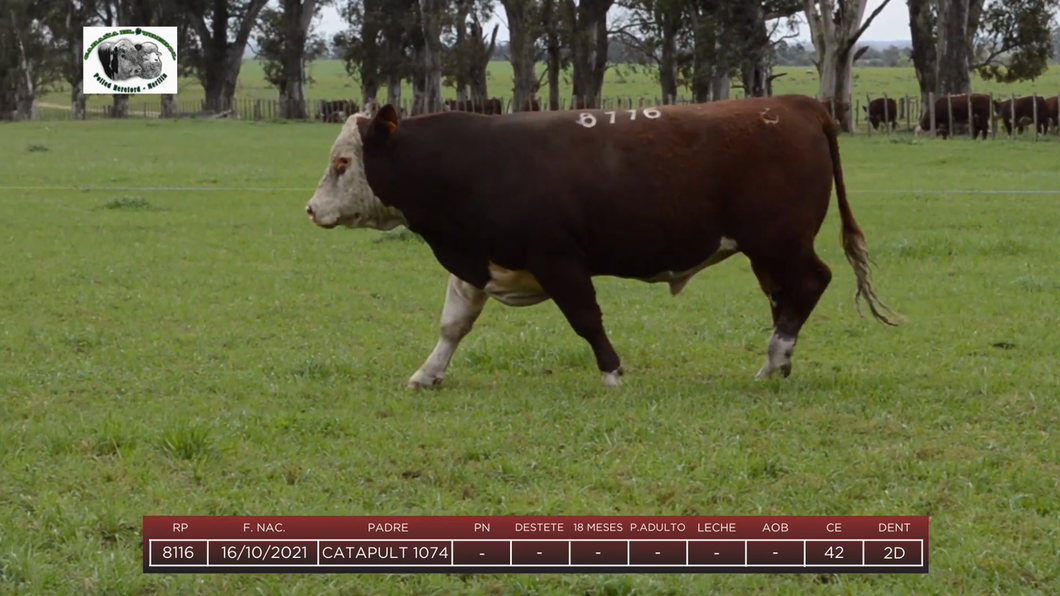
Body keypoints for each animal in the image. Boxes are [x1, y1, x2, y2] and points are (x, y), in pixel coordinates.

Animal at [303, 94, 898, 388]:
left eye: (342, 163)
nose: (311, 209)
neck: (472, 162)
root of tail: (795, 104)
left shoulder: (557, 258)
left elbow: (586, 318)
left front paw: (612, 372)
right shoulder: (477, 259)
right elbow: (453, 324)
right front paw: (428, 373)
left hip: (780, 239)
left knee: (810, 283)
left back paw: (776, 359)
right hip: (768, 250)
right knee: (785, 295)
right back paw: (779, 360)